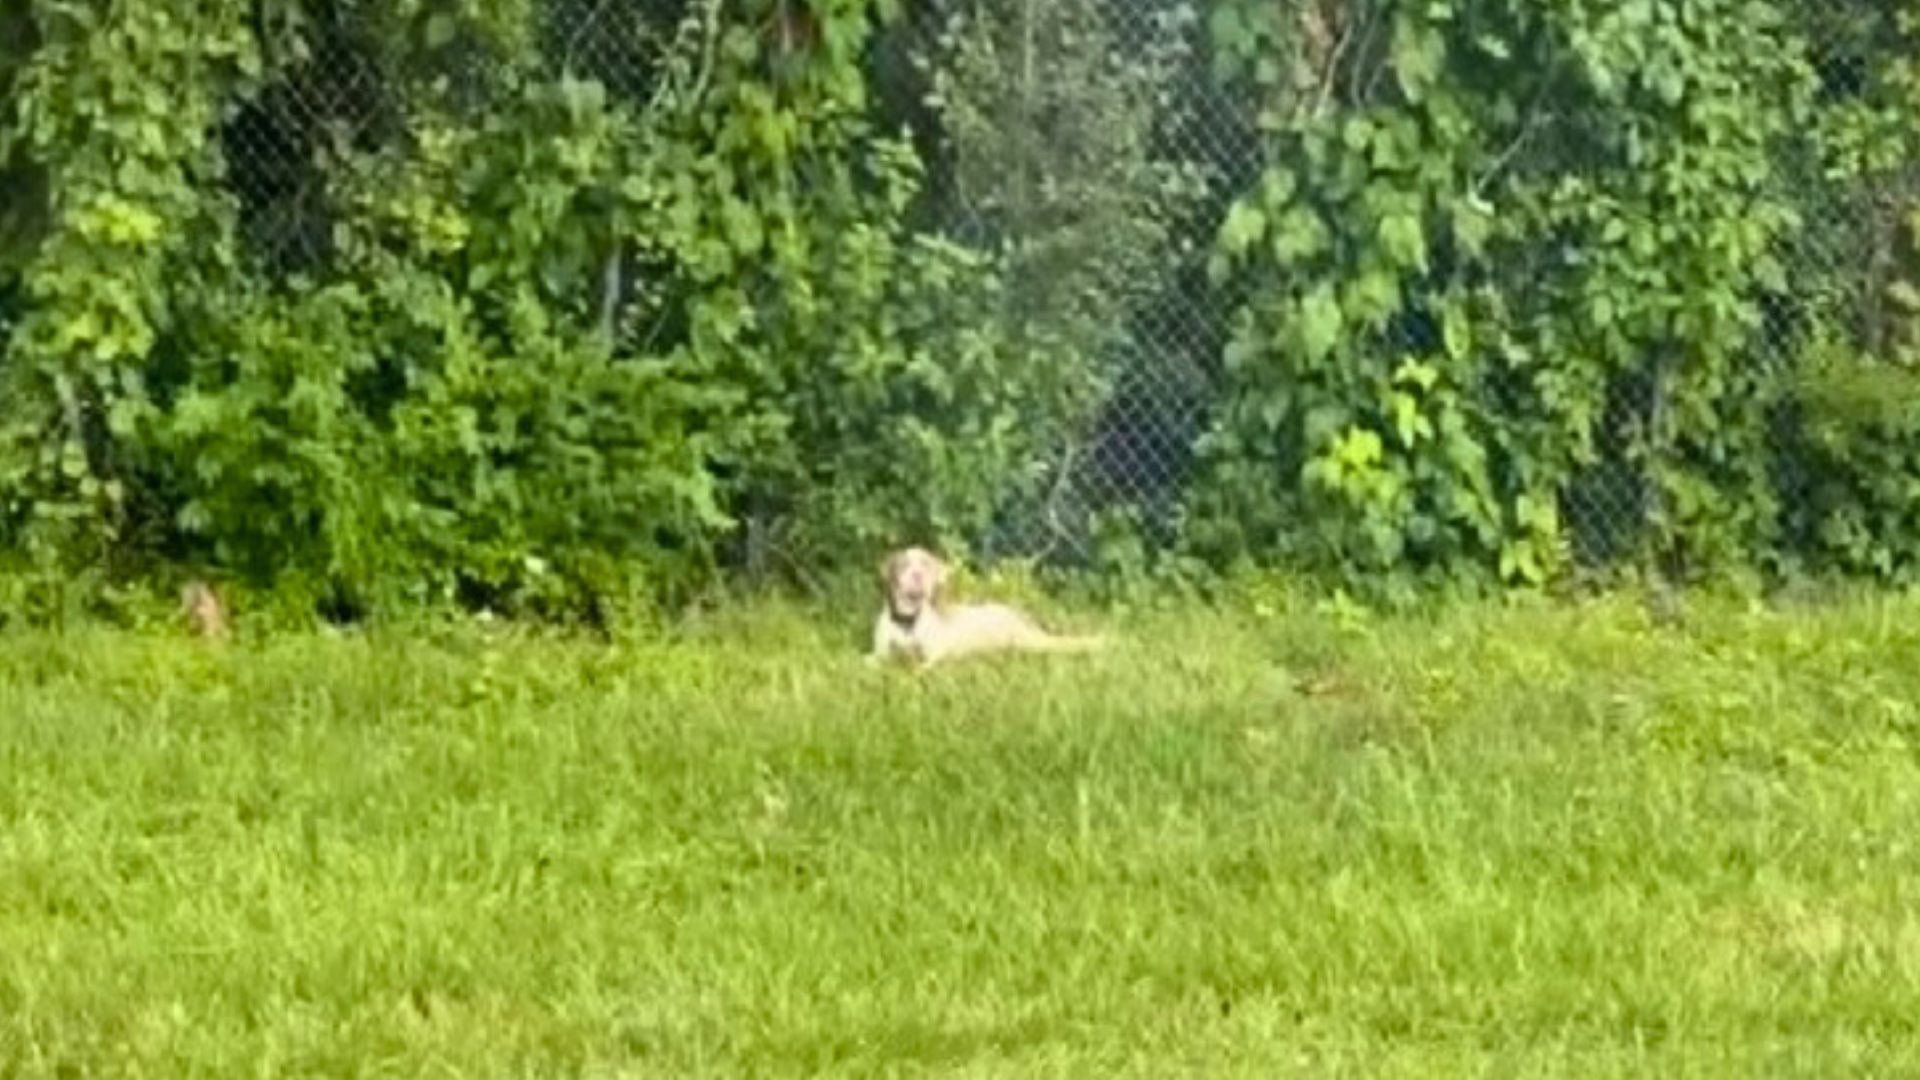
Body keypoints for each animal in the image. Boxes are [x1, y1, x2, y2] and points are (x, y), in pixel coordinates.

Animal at [864, 545, 1105, 664]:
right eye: (903, 564)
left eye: (927, 564)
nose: (918, 575)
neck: (906, 620)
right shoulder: (879, 654)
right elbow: (864, 663)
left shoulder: (934, 656)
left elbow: (915, 672)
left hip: (1021, 641)